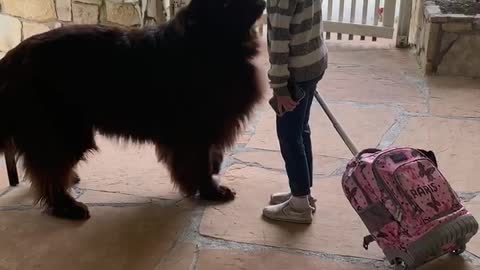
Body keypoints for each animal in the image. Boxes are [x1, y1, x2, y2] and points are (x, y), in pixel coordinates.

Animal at [0, 0, 266, 219]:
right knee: (50, 172)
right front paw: (211, 191)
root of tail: (11, 58)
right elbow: (200, 164)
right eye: (226, 3)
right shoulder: (195, 130)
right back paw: (68, 207)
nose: (262, 2)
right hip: (65, 130)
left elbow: (210, 159)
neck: (209, 40)